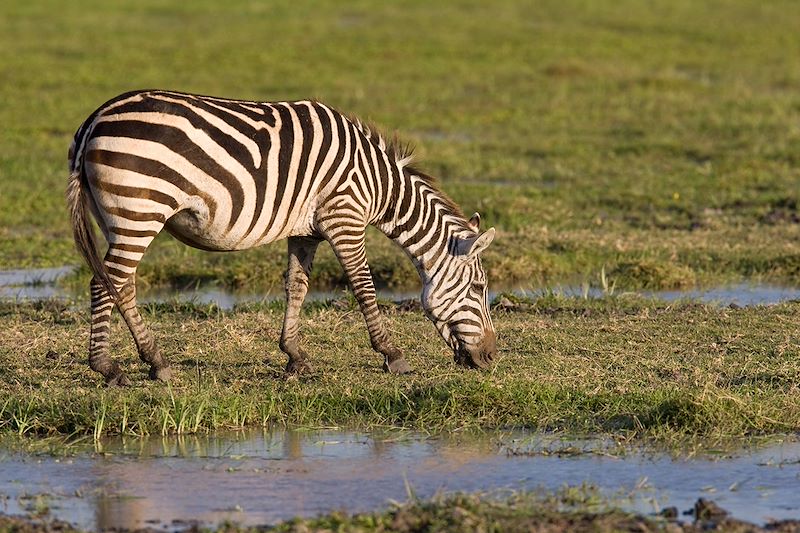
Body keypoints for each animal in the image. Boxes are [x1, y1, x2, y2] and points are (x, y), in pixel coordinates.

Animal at [67, 89, 494, 384]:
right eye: (478, 287)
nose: (491, 357)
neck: (376, 183)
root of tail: (94, 119)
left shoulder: (306, 231)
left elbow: (297, 286)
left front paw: (295, 357)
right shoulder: (344, 217)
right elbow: (363, 286)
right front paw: (393, 355)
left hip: (119, 218)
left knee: (121, 285)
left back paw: (156, 363)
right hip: (139, 211)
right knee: (104, 283)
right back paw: (108, 368)